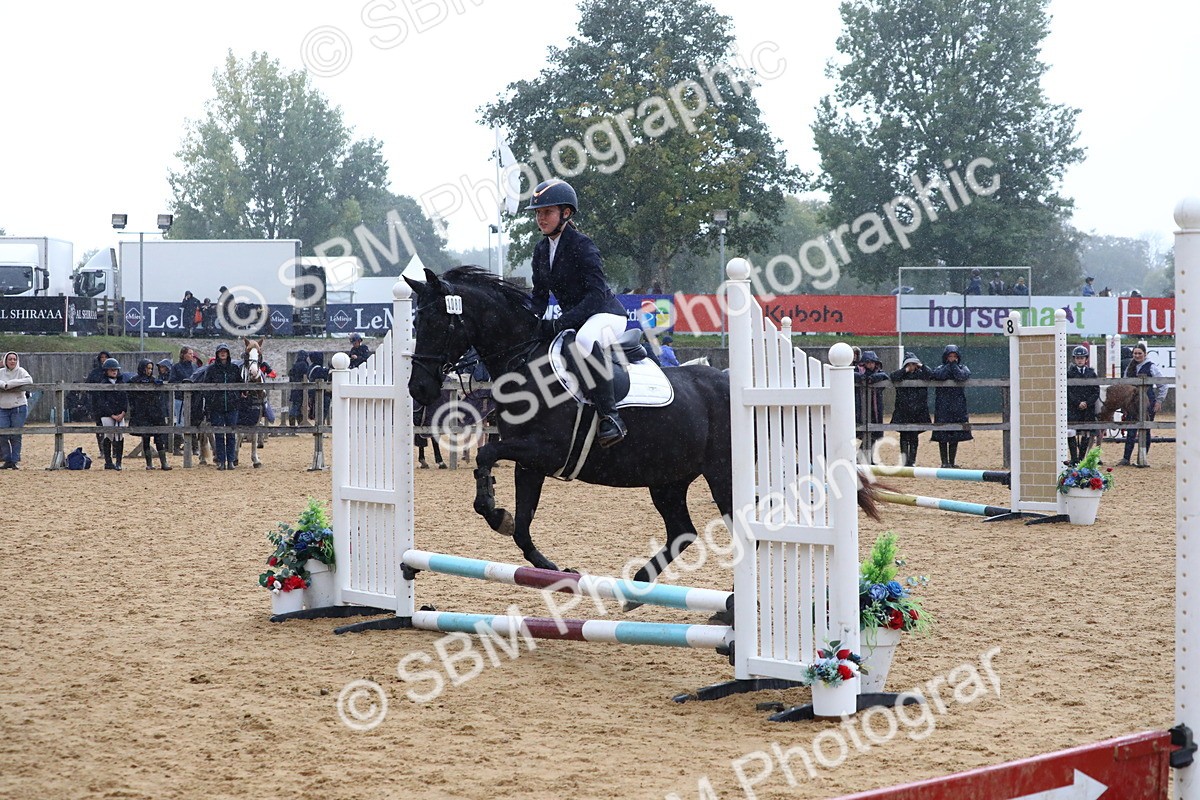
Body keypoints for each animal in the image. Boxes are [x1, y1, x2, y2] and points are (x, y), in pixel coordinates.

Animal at [405, 266, 881, 587]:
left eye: (435, 322)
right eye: (413, 322)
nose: (418, 388)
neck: (524, 359)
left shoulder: (543, 450)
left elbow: (486, 453)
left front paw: (490, 505)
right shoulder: (529, 459)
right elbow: (521, 526)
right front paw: (547, 561)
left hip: (722, 476)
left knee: (746, 530)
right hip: (667, 478)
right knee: (682, 532)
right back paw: (635, 589)